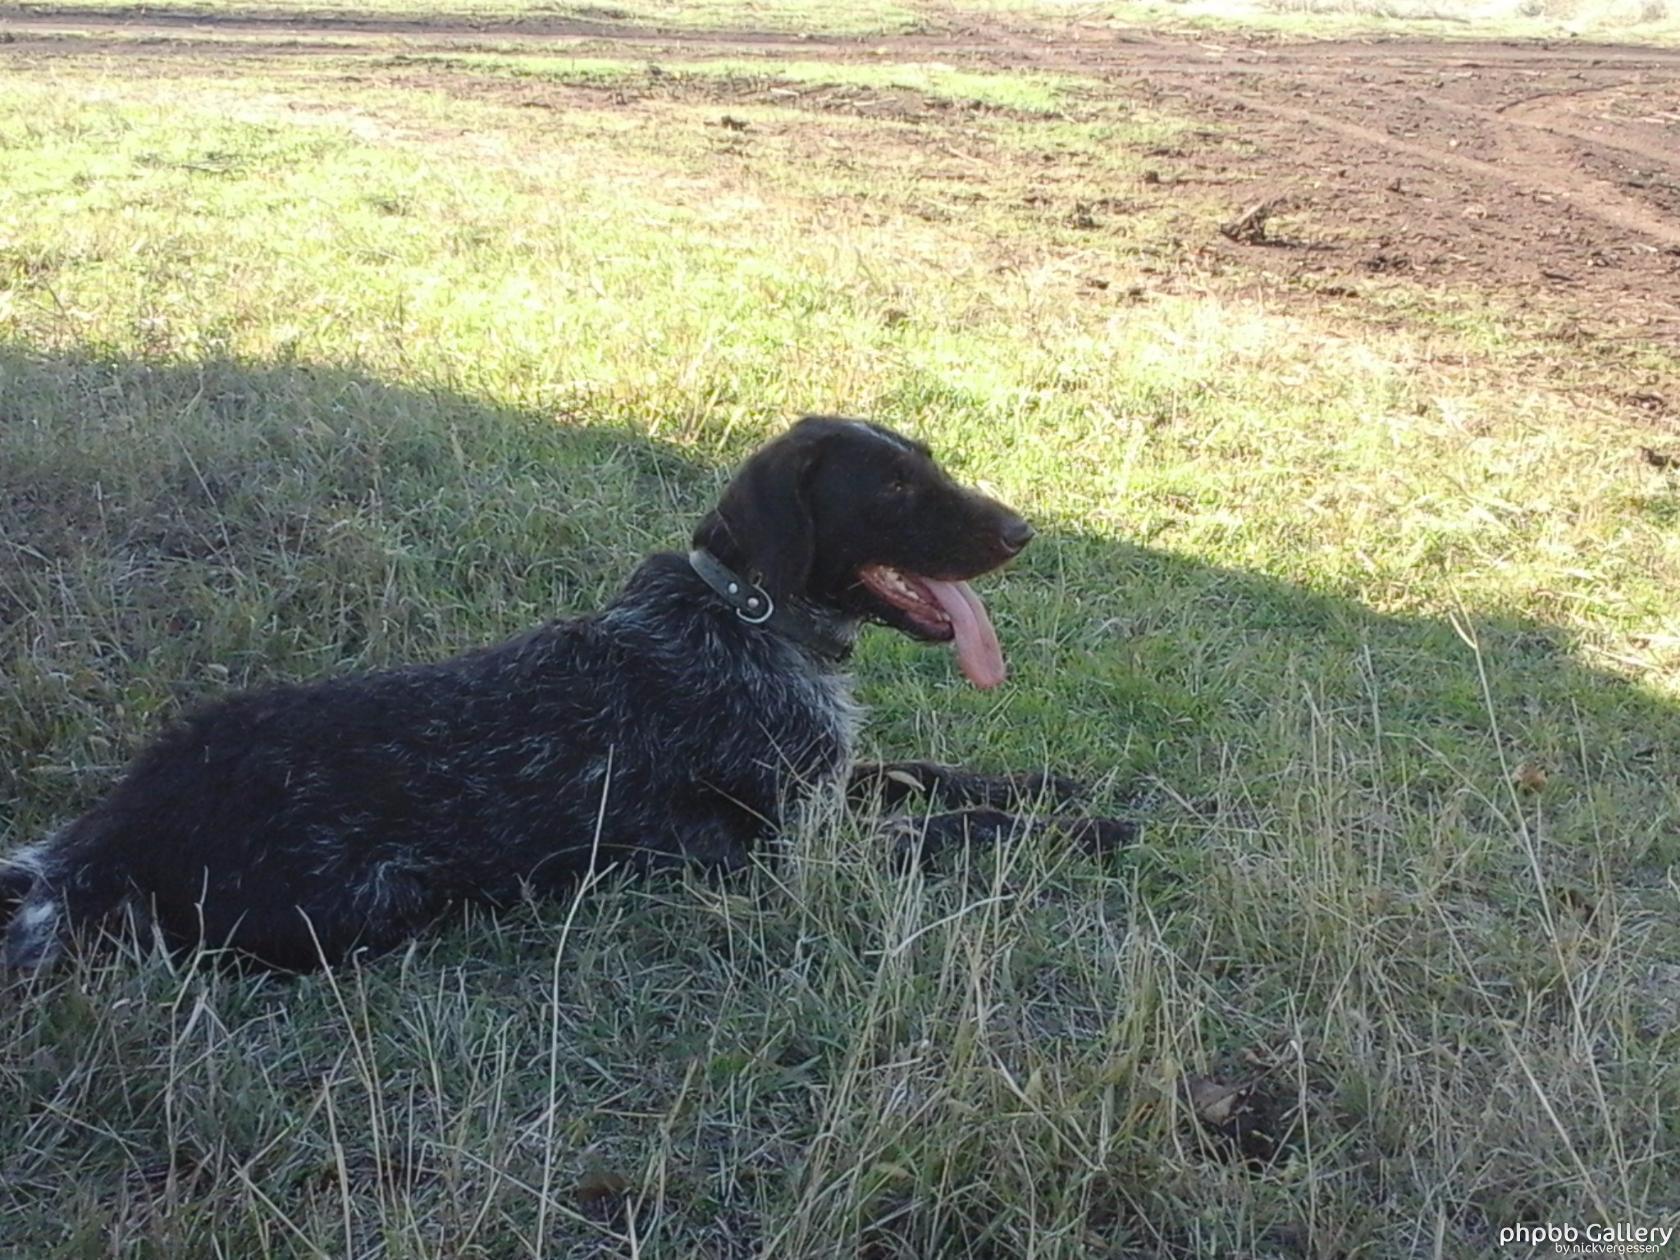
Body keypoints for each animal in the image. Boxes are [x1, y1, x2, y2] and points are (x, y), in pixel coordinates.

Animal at [1, 416, 1130, 972]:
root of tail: (102, 841)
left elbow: (944, 775)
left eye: (925, 464)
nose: (1023, 532)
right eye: (891, 486)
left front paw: (1065, 790)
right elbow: (958, 825)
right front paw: (1087, 832)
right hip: (370, 902)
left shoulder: (830, 785)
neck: (747, 619)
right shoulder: (796, 854)